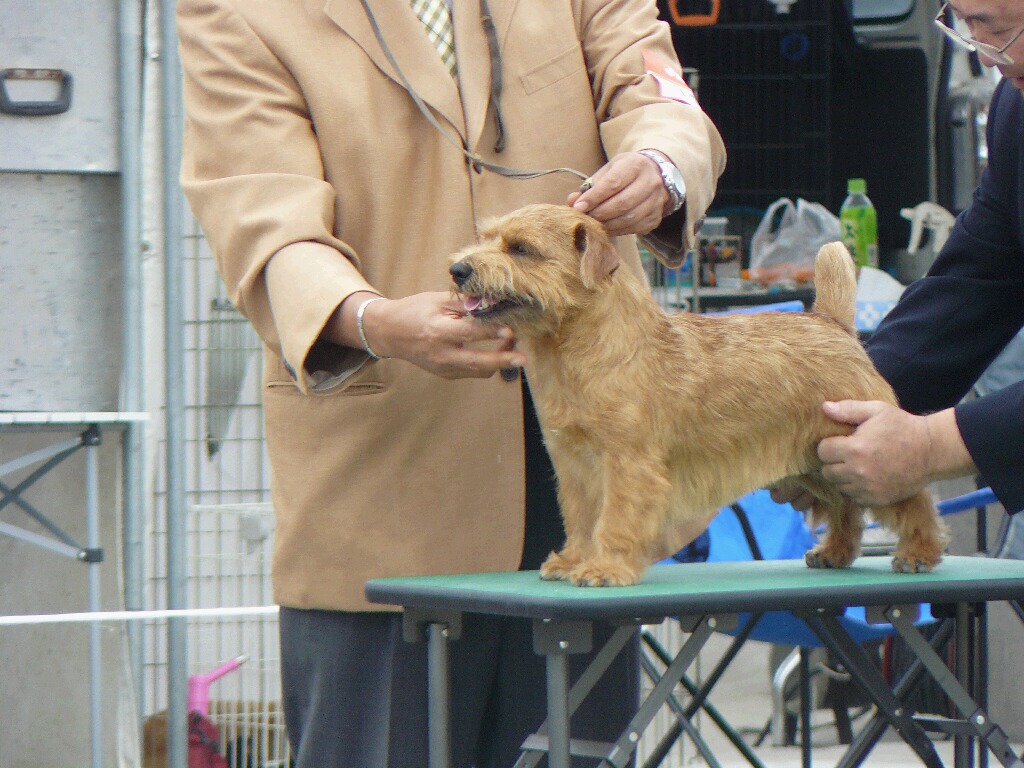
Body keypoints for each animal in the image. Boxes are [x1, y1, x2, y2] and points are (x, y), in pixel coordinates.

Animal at [449, 203, 947, 587]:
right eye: (486, 237)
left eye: (521, 249)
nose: (458, 269)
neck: (573, 350)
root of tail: (834, 323)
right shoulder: (573, 466)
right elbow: (581, 519)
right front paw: (573, 560)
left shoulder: (627, 465)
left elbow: (615, 519)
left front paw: (606, 568)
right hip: (821, 462)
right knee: (846, 507)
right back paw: (835, 552)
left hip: (859, 446)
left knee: (913, 501)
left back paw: (918, 554)